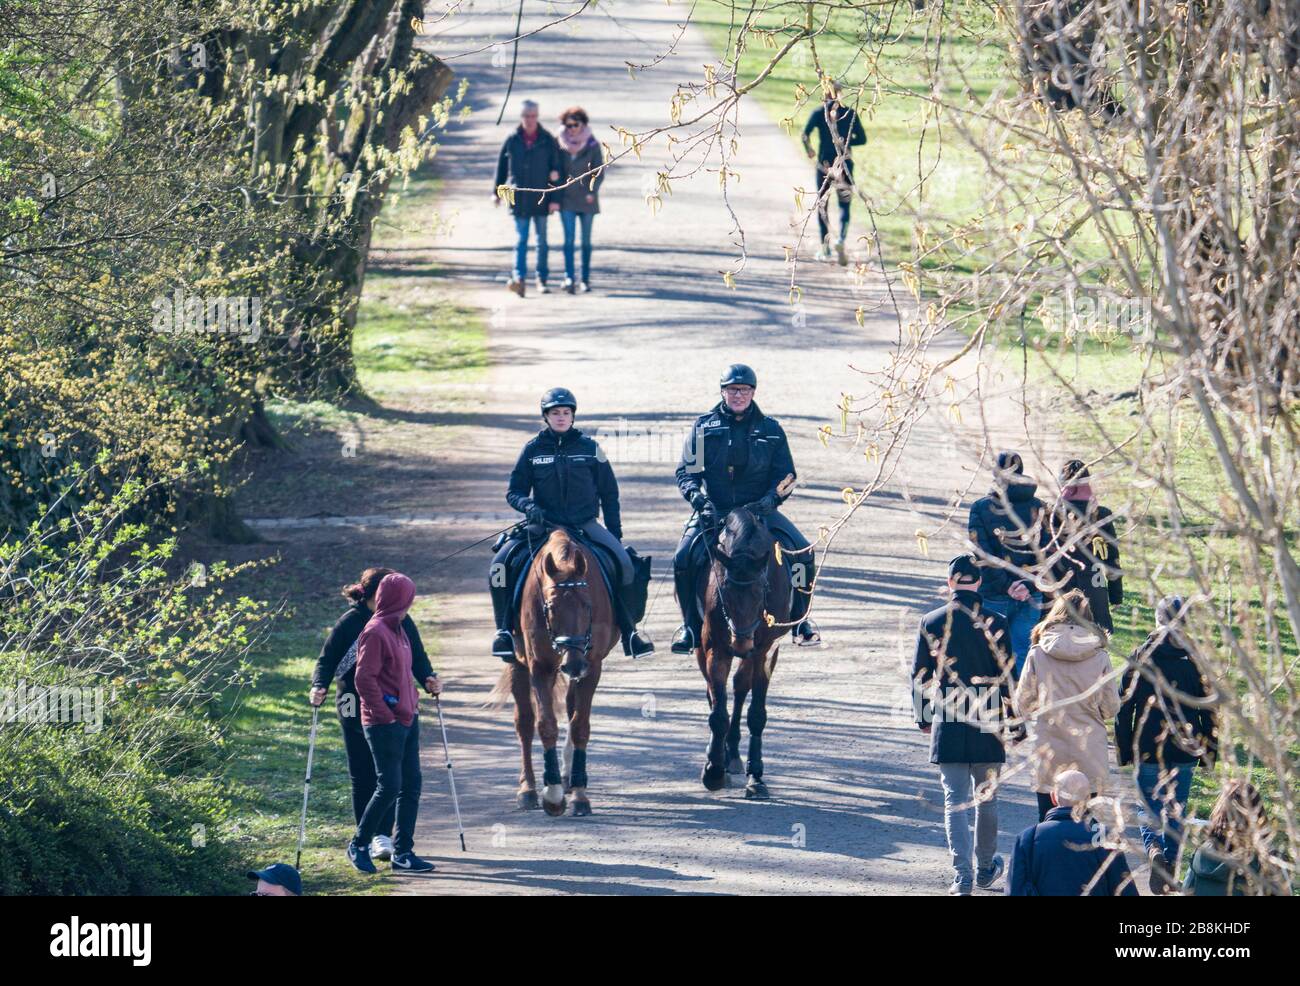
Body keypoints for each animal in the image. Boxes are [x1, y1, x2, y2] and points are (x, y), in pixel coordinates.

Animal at [486, 533, 616, 816]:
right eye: (552, 607)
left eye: (587, 605)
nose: (573, 664)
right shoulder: (539, 666)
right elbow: (545, 725)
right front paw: (553, 796)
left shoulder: (592, 667)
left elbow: (580, 726)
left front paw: (579, 795)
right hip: (518, 664)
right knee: (524, 722)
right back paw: (528, 789)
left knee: (570, 707)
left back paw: (569, 777)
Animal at [696, 512, 785, 801]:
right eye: (724, 591)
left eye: (761, 591)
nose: (741, 642)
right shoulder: (715, 649)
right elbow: (718, 713)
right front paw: (713, 772)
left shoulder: (765, 652)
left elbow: (756, 713)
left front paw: (755, 777)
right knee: (717, 692)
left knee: (740, 686)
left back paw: (733, 755)